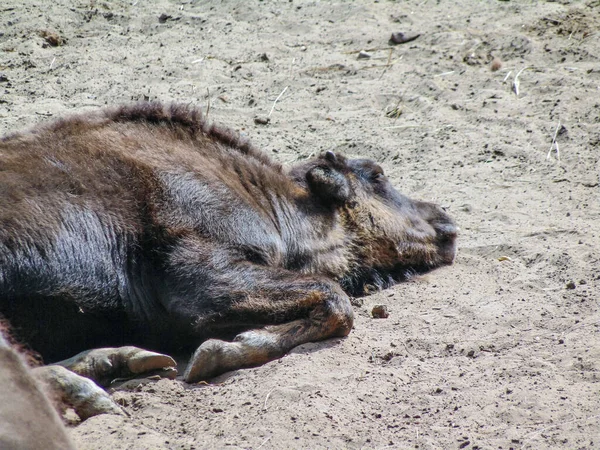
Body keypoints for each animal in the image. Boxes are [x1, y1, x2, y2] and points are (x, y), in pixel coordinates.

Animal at [0, 103, 454, 412]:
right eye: (376, 175)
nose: (446, 221)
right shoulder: (201, 280)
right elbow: (334, 300)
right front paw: (219, 351)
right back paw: (93, 390)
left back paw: (126, 360)